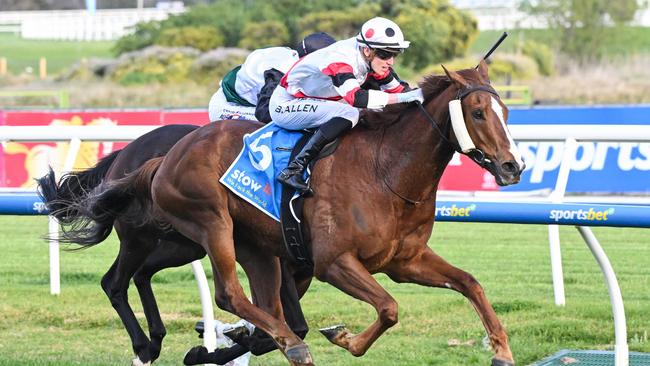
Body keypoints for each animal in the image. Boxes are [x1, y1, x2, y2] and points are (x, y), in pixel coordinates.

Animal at [36, 124, 310, 364]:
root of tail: (126, 151)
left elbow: (285, 326)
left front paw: (217, 344)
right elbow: (291, 326)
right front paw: (211, 348)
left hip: (186, 244)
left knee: (141, 273)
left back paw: (156, 339)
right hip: (142, 236)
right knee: (114, 282)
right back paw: (144, 347)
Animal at [83, 60, 524, 366]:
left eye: (505, 111)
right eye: (478, 112)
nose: (513, 166)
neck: (385, 171)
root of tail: (164, 156)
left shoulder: (405, 261)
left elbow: (469, 283)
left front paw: (502, 350)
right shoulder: (333, 262)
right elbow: (388, 308)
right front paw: (343, 338)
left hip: (247, 247)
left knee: (240, 299)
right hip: (207, 224)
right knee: (221, 292)